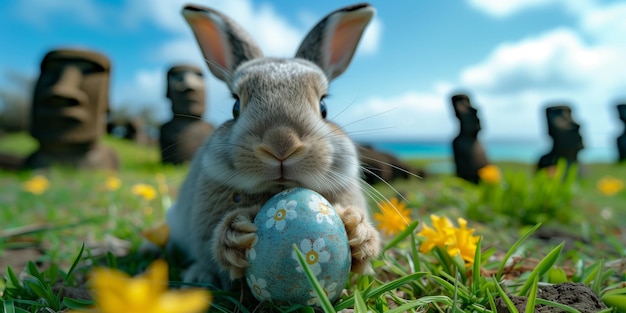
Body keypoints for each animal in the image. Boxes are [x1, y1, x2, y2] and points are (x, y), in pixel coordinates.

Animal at [166, 3, 380, 290]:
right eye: (235, 106)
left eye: (324, 107)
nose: (281, 143)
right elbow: (211, 245)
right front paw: (234, 235)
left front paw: (357, 231)